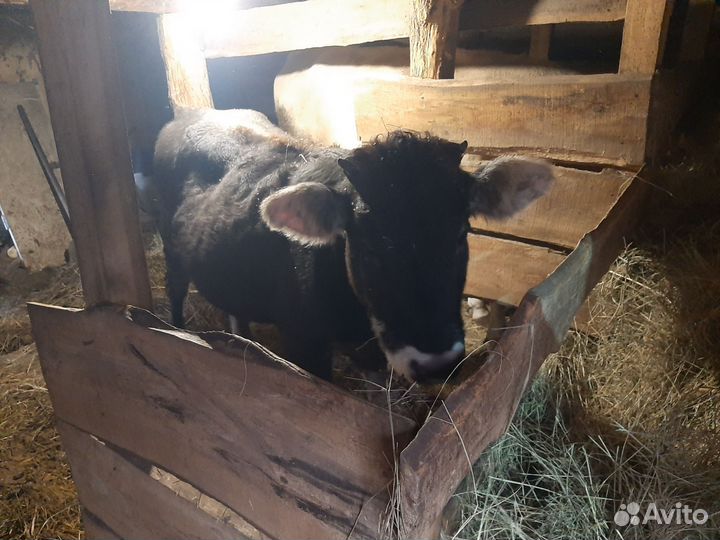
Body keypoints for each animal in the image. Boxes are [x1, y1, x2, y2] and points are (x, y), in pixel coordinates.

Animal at [151, 108, 553, 382]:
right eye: (370, 248)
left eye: (459, 235)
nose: (436, 364)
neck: (356, 322)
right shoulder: (303, 343)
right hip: (172, 253)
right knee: (175, 292)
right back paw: (178, 330)